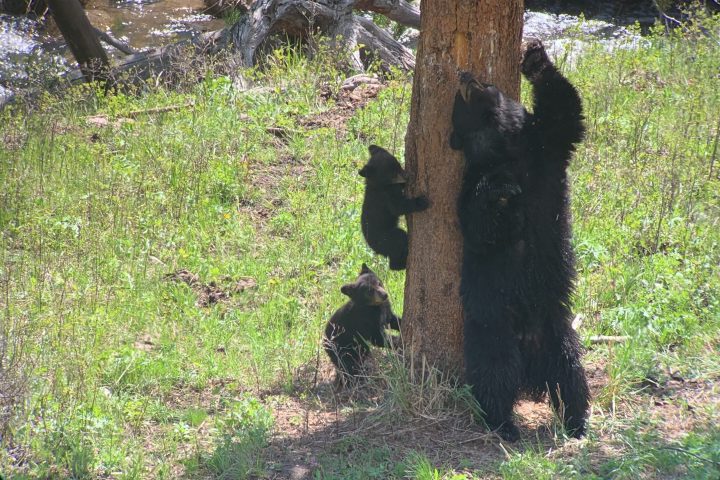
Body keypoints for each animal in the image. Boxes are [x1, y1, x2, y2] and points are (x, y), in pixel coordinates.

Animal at [450, 39, 590, 441]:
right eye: (460, 103)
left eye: (485, 84)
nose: (464, 75)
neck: (506, 148)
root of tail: (530, 357)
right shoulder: (467, 186)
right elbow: (479, 226)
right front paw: (499, 191)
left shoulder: (545, 150)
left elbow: (565, 111)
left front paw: (535, 58)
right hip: (492, 331)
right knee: (494, 377)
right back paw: (504, 424)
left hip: (558, 332)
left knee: (570, 377)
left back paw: (577, 422)